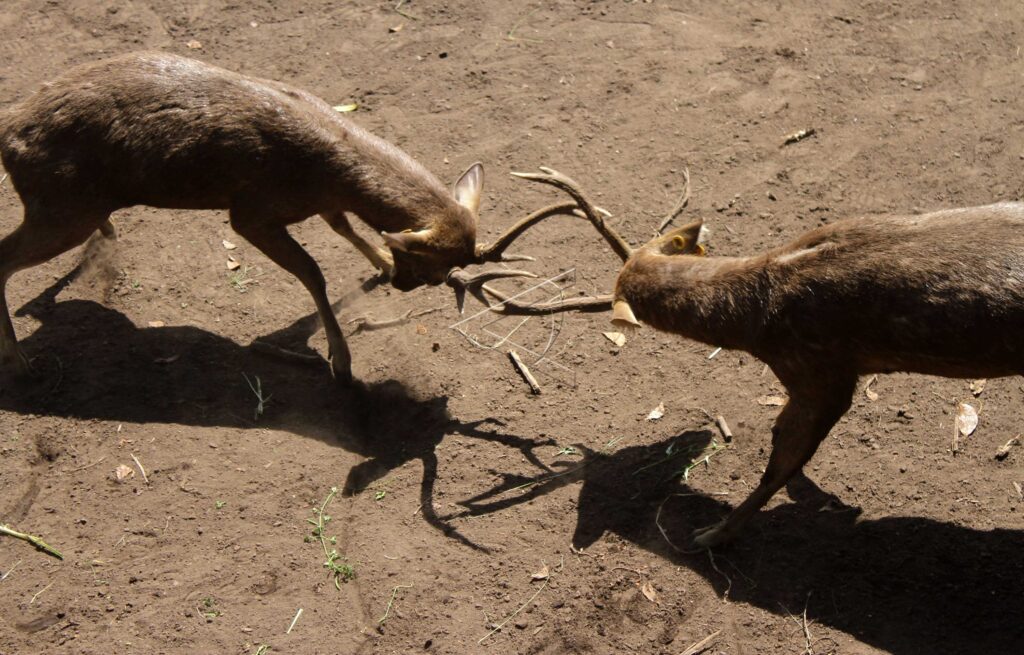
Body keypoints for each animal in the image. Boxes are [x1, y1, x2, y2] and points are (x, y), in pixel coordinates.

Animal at [0, 51, 540, 385]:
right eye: (432, 272)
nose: (402, 285)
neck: (325, 169)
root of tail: (8, 132)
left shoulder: (321, 202)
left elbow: (343, 226)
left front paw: (378, 266)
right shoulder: (251, 211)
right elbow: (313, 272)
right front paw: (341, 362)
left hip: (71, 206)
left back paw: (104, 241)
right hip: (61, 205)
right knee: (5, 256)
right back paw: (21, 362)